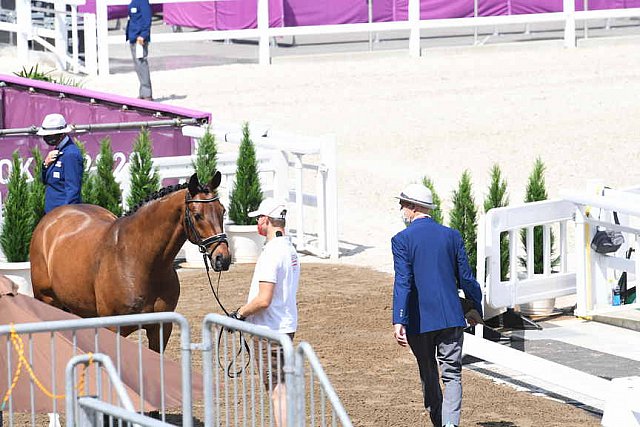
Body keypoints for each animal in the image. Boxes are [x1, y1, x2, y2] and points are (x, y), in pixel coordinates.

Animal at [30, 172, 231, 352]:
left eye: (222, 211)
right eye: (197, 215)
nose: (223, 258)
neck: (140, 261)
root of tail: (50, 219)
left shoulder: (161, 328)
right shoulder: (113, 329)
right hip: (47, 300)